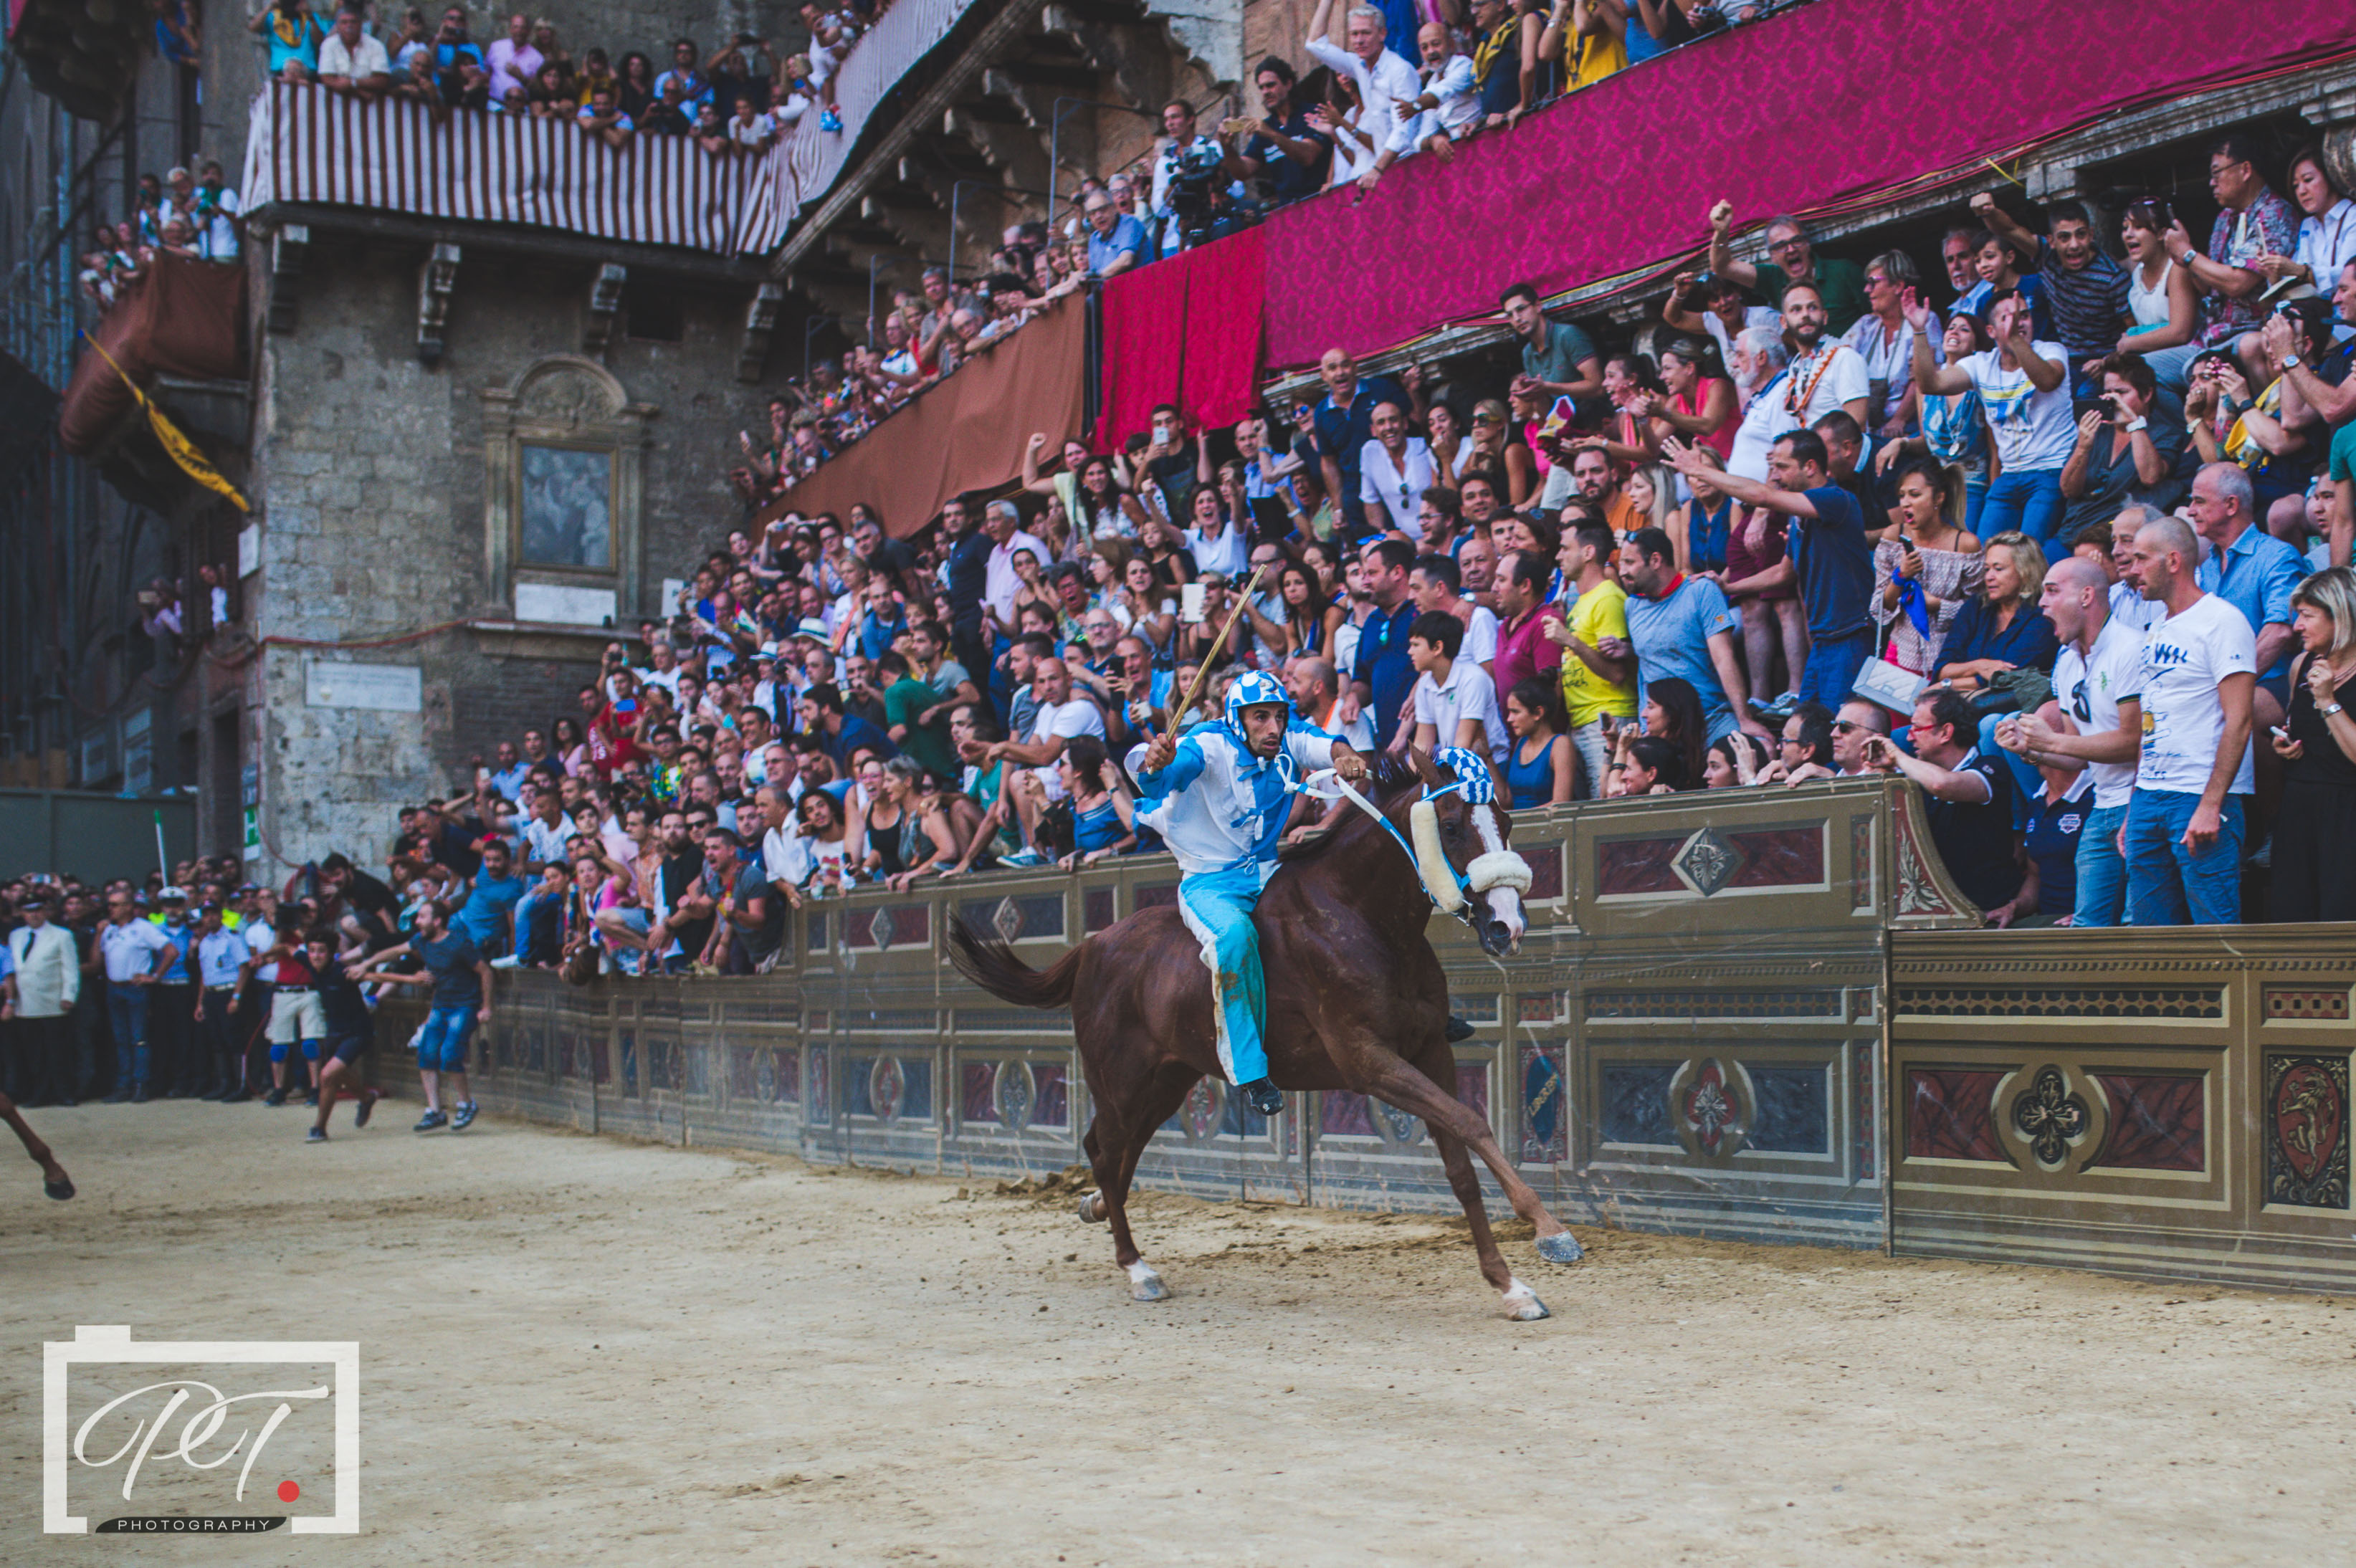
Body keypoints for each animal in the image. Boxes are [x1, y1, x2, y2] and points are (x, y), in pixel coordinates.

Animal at [951, 744, 1583, 1318]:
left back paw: (1097, 1210)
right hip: (1121, 1080)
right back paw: (1137, 1269)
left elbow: (1460, 1164)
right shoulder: (1367, 1060)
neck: (1362, 918)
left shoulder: (1429, 1050)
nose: (1506, 925)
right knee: (1107, 1155)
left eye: (1505, 822)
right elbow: (1471, 1123)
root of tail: (1091, 947)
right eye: (1450, 826)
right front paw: (1550, 1230)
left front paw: (1510, 1287)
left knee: (1111, 1151)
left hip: (1167, 1081)